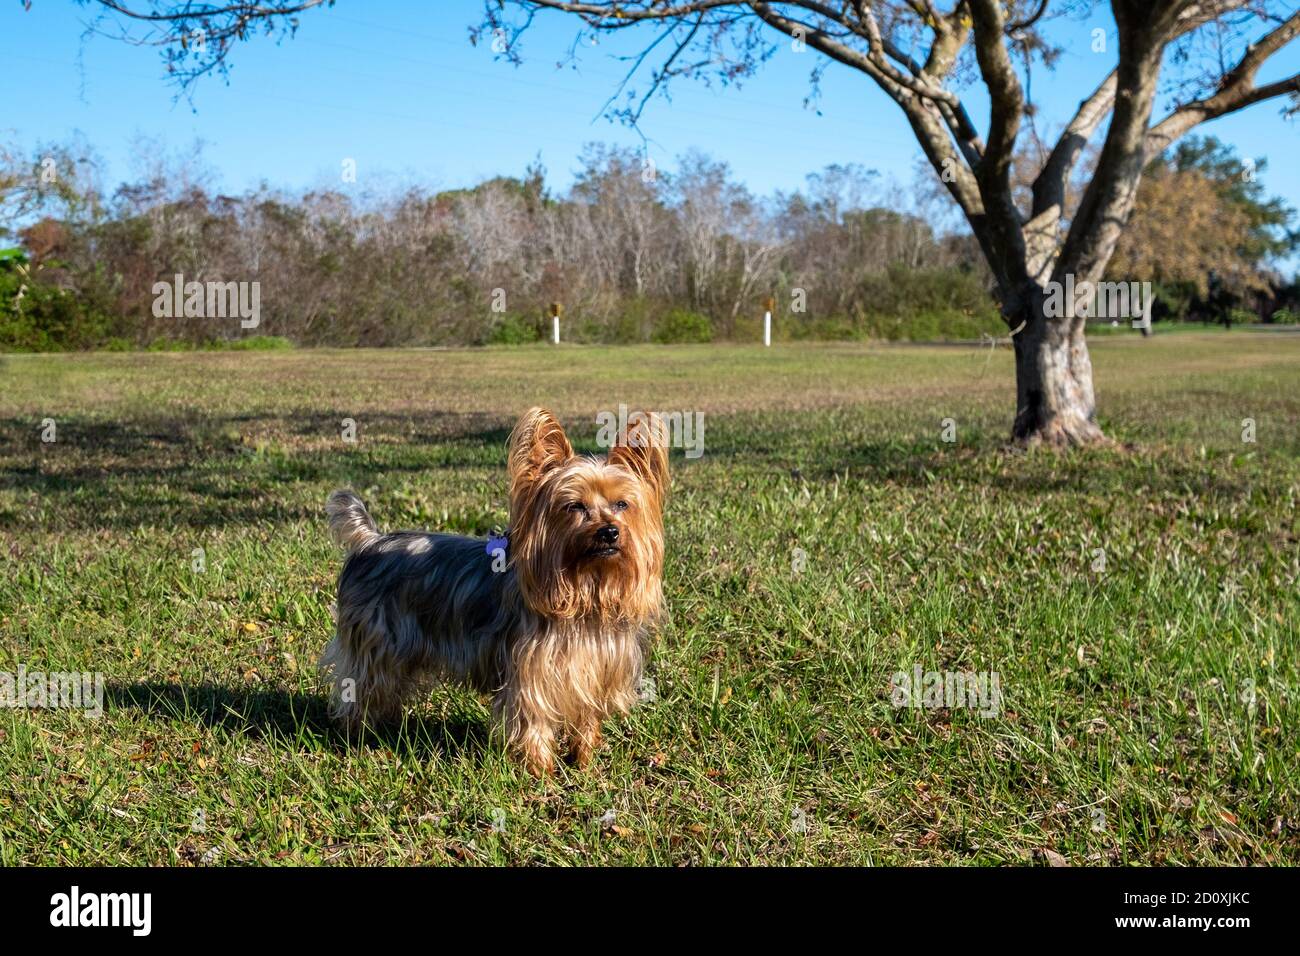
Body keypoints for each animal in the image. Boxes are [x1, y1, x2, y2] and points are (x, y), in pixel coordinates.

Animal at [319, 408, 670, 775]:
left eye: (622, 504)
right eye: (574, 506)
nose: (609, 532)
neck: (586, 589)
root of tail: (369, 541)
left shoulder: (598, 671)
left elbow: (586, 719)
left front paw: (583, 762)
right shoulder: (532, 674)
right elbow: (534, 721)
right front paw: (541, 772)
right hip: (376, 642)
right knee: (361, 686)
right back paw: (358, 736)